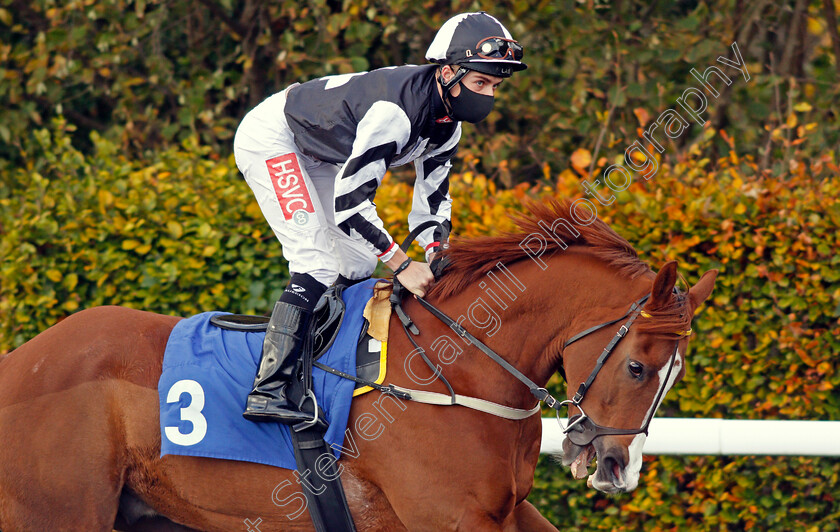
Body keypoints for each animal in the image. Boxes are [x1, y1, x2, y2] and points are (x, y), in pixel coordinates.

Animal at [0, 201, 716, 532]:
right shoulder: (448, 517)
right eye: (639, 368)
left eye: (674, 375)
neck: (455, 373)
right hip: (59, 513)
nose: (619, 467)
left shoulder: (503, 510)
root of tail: (21, 364)